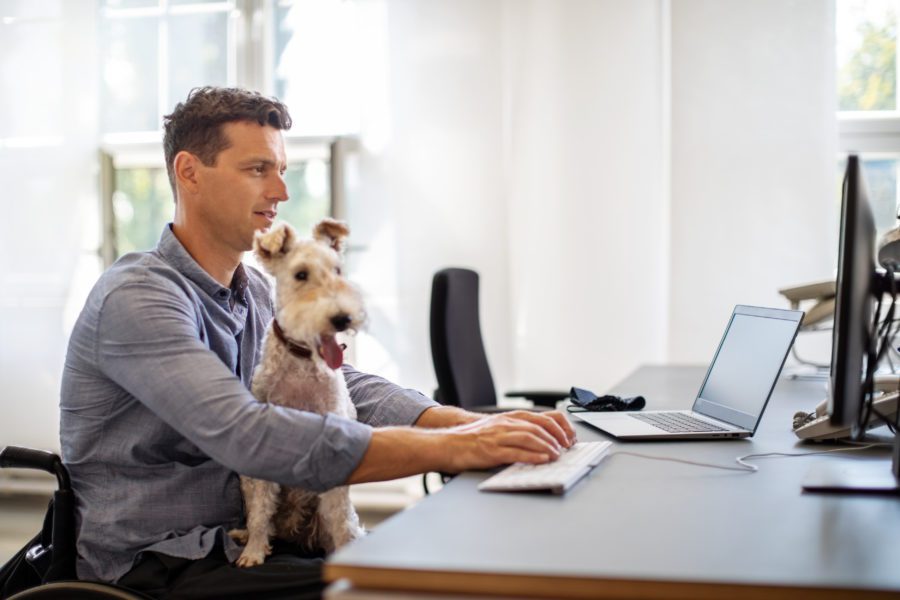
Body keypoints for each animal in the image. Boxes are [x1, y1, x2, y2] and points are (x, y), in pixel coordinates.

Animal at [230, 218, 368, 564]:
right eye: (301, 274)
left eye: (337, 270)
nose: (342, 318)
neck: (301, 359)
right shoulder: (261, 450)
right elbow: (259, 511)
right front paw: (253, 552)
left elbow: (340, 519)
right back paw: (245, 535)